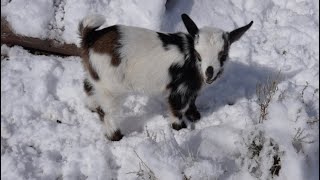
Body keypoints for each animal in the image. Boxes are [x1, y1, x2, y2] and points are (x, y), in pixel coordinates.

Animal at [79, 13, 252, 141]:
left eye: (223, 55)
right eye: (198, 55)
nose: (209, 73)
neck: (191, 61)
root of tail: (90, 38)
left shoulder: (191, 89)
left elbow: (192, 101)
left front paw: (195, 116)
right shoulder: (180, 89)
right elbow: (177, 109)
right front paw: (180, 129)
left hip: (96, 77)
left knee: (88, 86)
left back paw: (91, 107)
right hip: (111, 87)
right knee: (107, 112)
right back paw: (116, 136)